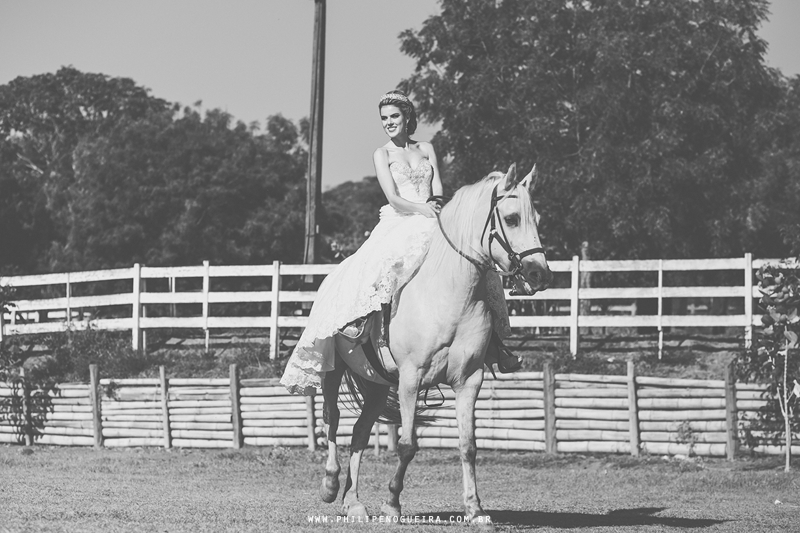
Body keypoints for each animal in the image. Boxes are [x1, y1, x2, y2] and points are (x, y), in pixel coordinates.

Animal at [318, 163, 552, 528]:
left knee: (359, 432)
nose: (540, 275)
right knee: (332, 418)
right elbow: (407, 445)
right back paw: (330, 485)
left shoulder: (469, 381)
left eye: (538, 219)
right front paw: (392, 505)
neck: (449, 293)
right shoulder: (411, 380)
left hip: (375, 383)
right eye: (512, 219)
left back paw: (352, 503)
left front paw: (475, 510)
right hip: (333, 368)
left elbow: (468, 446)